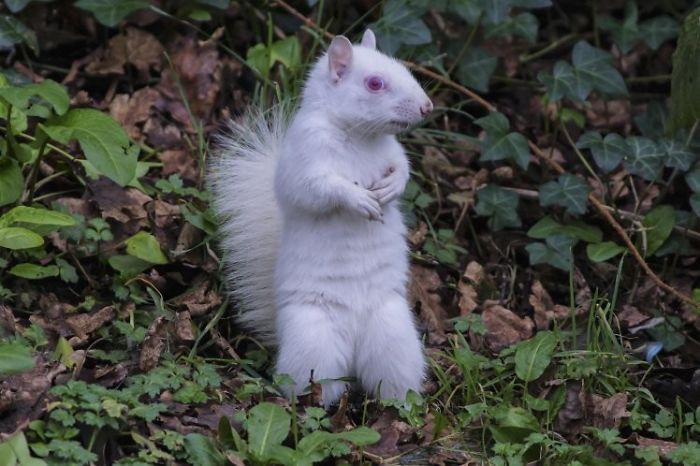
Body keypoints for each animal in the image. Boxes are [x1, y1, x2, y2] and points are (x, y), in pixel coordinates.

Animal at [209, 29, 433, 407]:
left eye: (401, 66)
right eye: (375, 83)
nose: (426, 106)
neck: (359, 136)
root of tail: (354, 356)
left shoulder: (393, 152)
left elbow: (402, 167)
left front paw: (390, 188)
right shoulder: (305, 158)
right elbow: (318, 188)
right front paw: (359, 199)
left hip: (393, 340)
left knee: (389, 383)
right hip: (314, 343)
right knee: (314, 384)